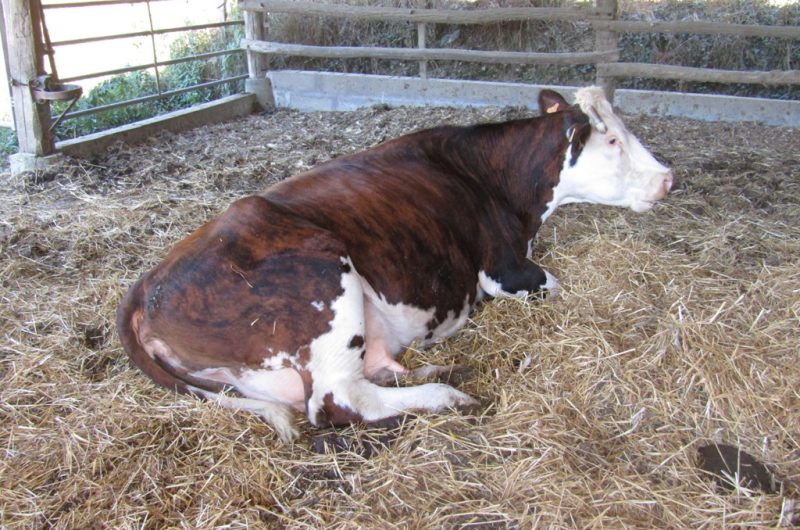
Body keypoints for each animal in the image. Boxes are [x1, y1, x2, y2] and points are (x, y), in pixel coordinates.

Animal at [117, 87, 673, 442]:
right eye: (612, 139)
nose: (668, 178)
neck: (496, 178)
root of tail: (146, 284)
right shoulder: (507, 270)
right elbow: (555, 284)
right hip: (324, 280)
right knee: (339, 399)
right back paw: (446, 395)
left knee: (374, 372)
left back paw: (439, 368)